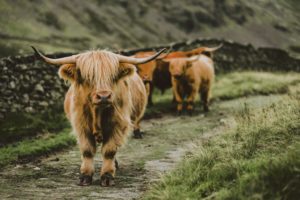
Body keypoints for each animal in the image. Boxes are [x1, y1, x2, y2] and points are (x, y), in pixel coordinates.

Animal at [32, 46, 166, 186]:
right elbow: (87, 151)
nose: (104, 96)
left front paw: (107, 176)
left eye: (112, 76)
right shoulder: (81, 126)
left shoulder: (117, 125)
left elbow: (109, 151)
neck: (97, 113)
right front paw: (85, 176)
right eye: (88, 76)